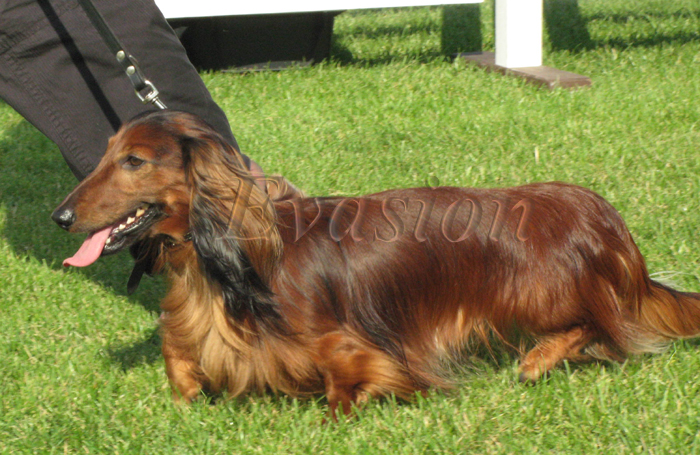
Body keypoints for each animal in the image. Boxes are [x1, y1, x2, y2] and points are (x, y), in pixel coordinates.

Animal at [52, 110, 700, 418]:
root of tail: (599, 217)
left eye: (135, 161)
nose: (60, 216)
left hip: (540, 295)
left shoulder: (348, 344)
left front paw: (335, 419)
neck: (229, 260)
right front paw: (185, 400)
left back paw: (538, 360)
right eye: (107, 154)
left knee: (603, 323)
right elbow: (177, 351)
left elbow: (347, 377)